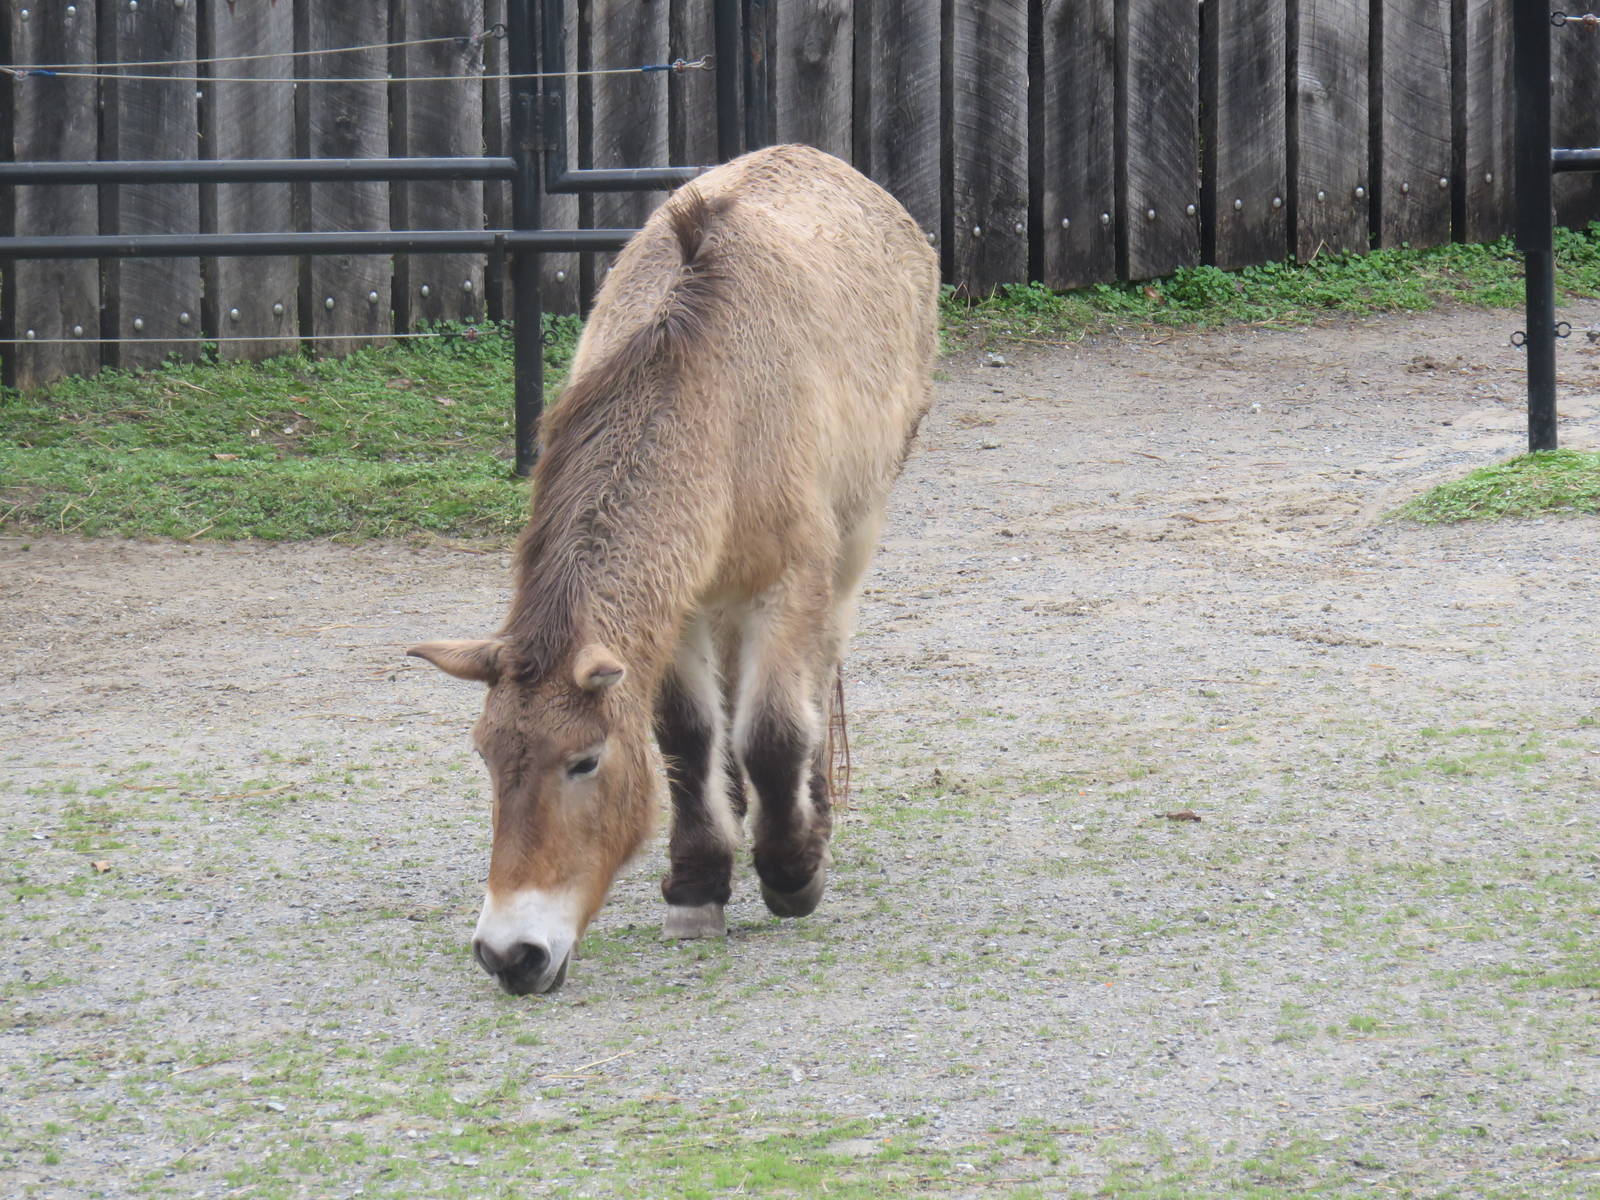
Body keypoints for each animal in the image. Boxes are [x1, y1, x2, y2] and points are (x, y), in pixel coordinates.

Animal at [409, 144, 939, 995]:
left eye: (584, 762)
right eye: (487, 755)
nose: (511, 955)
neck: (715, 394)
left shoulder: (787, 585)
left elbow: (776, 731)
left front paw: (792, 872)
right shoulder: (676, 608)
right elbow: (687, 735)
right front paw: (698, 883)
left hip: (852, 544)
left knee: (816, 678)